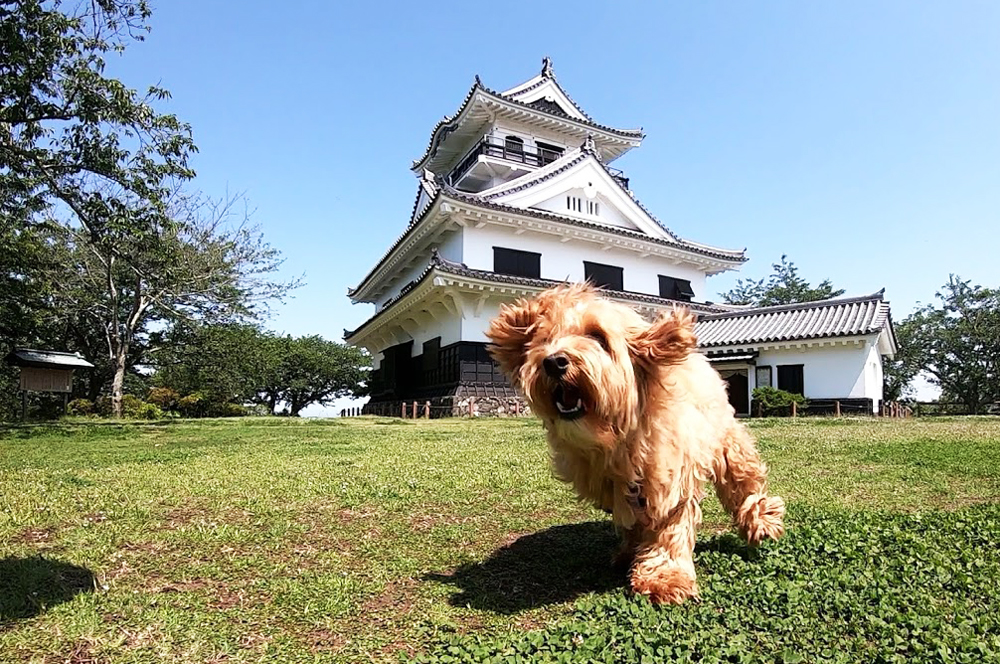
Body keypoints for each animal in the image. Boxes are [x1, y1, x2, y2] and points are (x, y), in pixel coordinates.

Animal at [488, 282, 784, 604]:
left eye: (598, 337)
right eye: (543, 339)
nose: (553, 362)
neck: (618, 436)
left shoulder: (671, 473)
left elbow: (670, 523)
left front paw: (664, 577)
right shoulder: (615, 487)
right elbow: (633, 521)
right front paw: (632, 554)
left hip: (726, 439)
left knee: (744, 481)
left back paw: (761, 520)